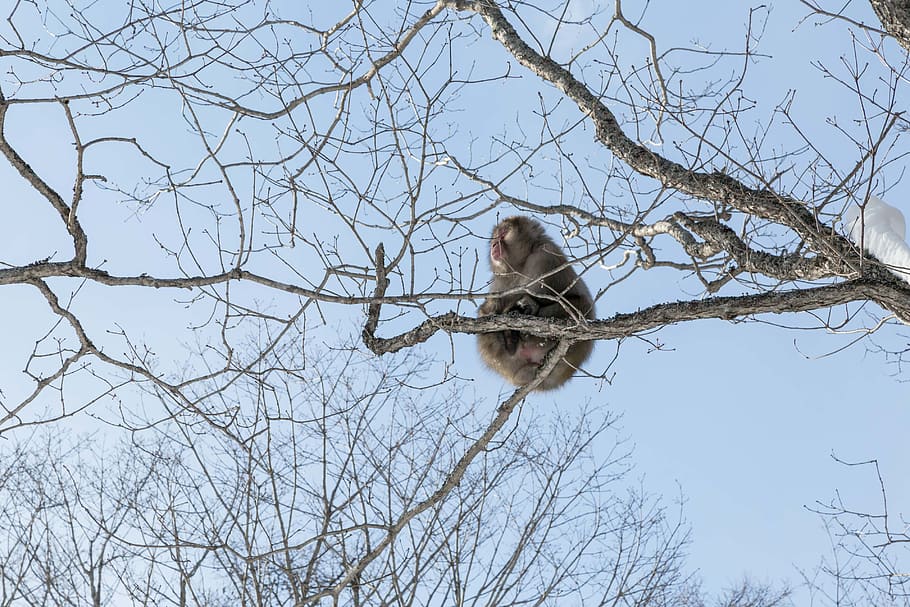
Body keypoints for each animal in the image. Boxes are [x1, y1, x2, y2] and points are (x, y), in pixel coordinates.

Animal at [478, 216, 600, 392]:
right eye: (495, 237)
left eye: (504, 232)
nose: (494, 244)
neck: (521, 264)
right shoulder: (499, 280)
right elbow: (486, 314)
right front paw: (490, 309)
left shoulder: (546, 256)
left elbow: (567, 300)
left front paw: (528, 304)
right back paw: (510, 342)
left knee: (579, 308)